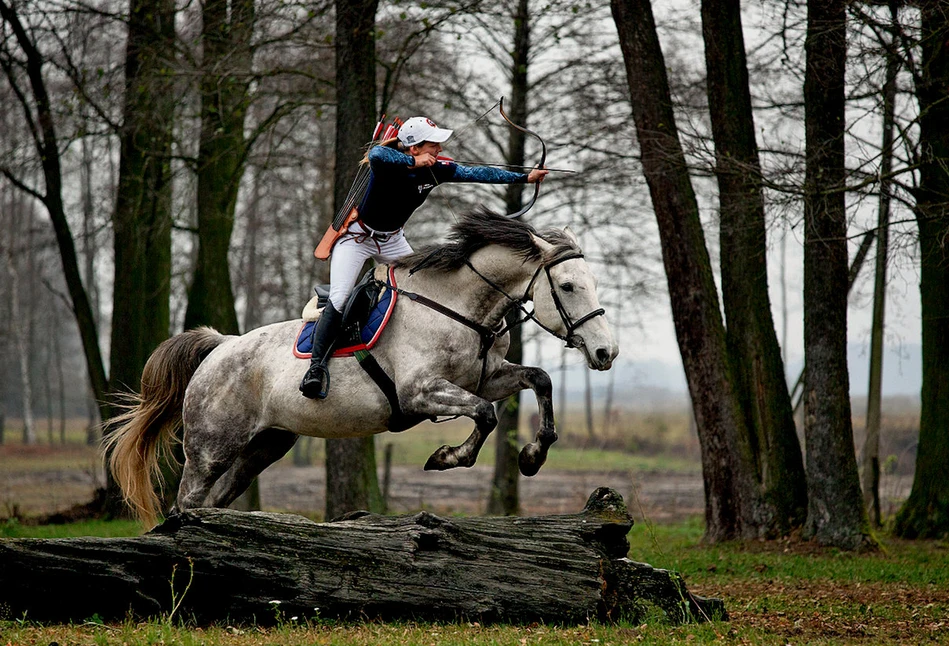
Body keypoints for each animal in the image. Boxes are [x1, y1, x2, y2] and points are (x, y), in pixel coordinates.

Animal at [107, 210, 620, 528]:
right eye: (568, 286)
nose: (606, 353)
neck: (461, 309)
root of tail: (222, 346)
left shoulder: (488, 377)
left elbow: (539, 380)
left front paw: (533, 455)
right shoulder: (420, 392)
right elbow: (485, 415)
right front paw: (447, 458)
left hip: (264, 445)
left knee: (215, 501)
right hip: (210, 448)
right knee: (188, 501)